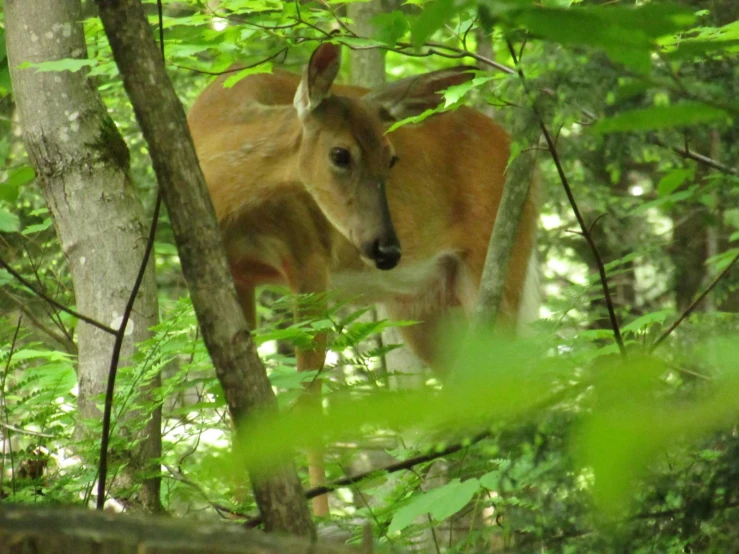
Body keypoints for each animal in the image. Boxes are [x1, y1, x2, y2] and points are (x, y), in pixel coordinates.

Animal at [188, 42, 536, 512]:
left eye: (391, 158)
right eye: (340, 154)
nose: (387, 248)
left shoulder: (309, 257)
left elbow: (309, 402)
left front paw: (318, 515)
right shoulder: (234, 273)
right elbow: (239, 406)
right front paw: (243, 510)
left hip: (499, 253)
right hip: (423, 305)